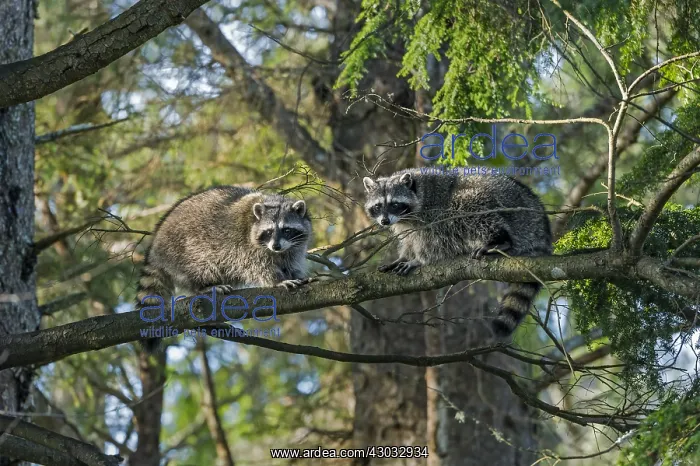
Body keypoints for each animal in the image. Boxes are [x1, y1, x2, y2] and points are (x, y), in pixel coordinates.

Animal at [136, 186, 313, 350]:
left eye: (286, 230)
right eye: (268, 232)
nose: (276, 246)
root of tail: (156, 244)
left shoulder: (294, 248)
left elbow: (291, 263)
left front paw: (294, 274)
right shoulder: (246, 247)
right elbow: (257, 266)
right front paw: (277, 280)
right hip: (183, 247)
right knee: (201, 265)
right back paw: (205, 286)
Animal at [362, 169, 552, 337]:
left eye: (394, 204)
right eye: (378, 206)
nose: (384, 221)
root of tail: (542, 224)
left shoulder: (434, 212)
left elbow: (436, 241)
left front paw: (419, 260)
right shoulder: (407, 225)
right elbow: (410, 240)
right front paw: (404, 256)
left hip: (514, 215)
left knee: (468, 203)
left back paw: (499, 239)